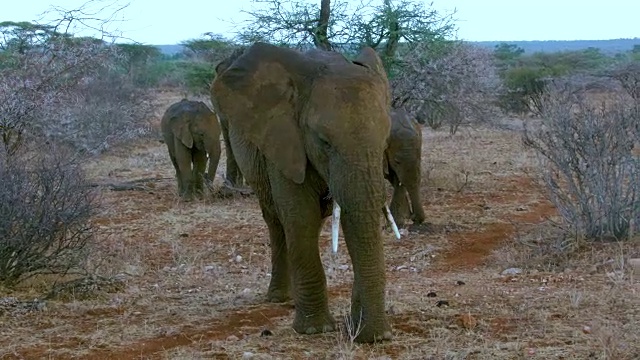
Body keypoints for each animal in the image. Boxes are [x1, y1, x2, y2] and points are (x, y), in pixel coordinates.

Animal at [212, 43, 392, 344]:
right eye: (324, 142)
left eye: (386, 140)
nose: (374, 337)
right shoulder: (285, 142)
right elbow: (300, 216)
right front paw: (314, 330)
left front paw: (360, 329)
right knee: (277, 221)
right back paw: (280, 298)